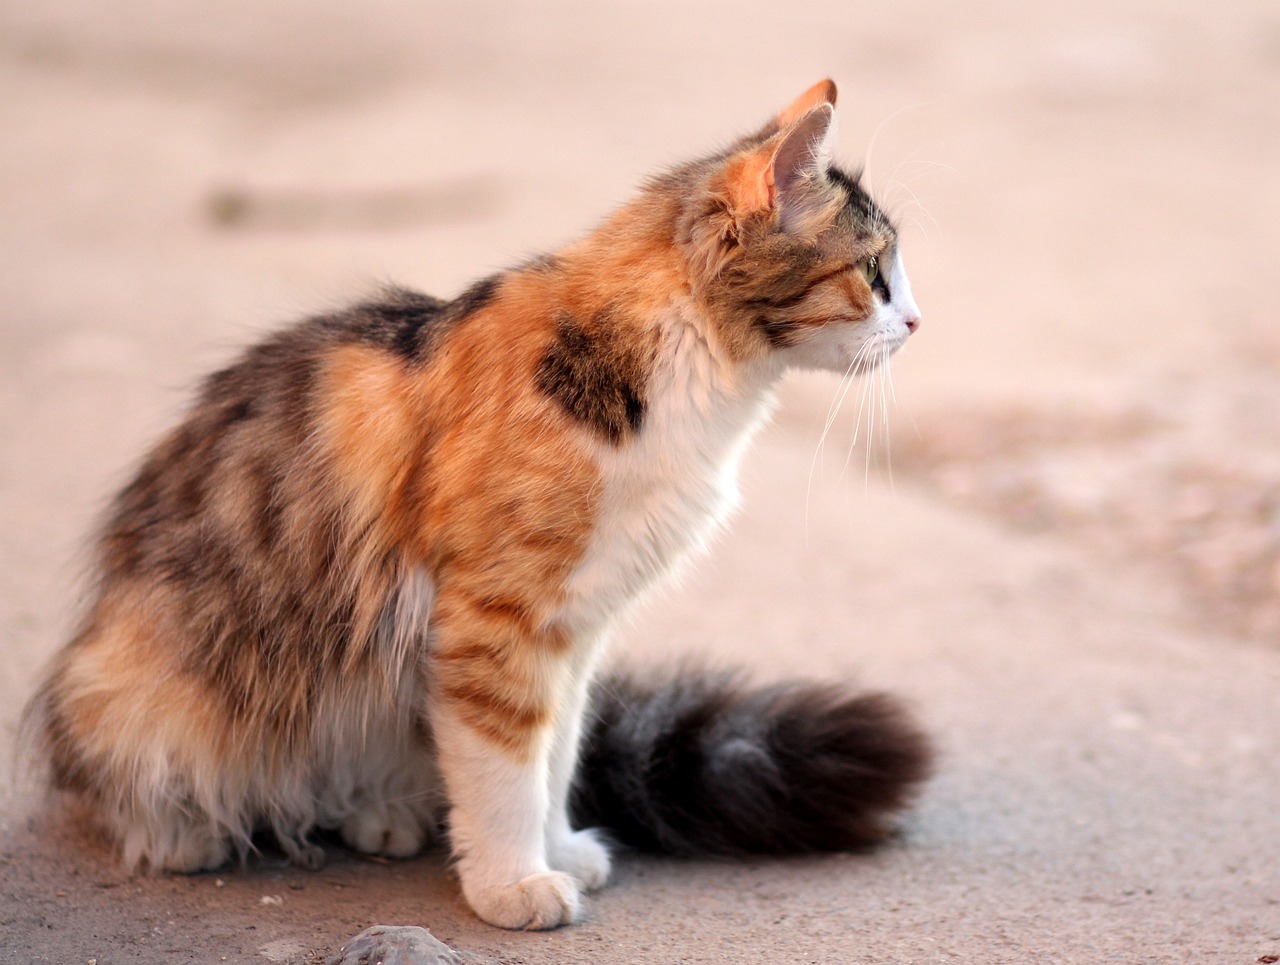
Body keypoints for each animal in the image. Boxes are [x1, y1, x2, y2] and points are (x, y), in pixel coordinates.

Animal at [22, 80, 931, 926]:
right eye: (873, 273)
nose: (919, 323)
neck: (690, 372)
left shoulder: (576, 627)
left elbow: (555, 754)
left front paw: (557, 847)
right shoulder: (496, 621)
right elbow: (507, 769)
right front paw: (514, 882)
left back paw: (379, 814)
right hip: (140, 688)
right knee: (120, 779)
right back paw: (185, 831)